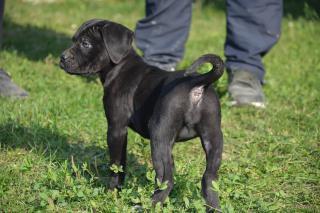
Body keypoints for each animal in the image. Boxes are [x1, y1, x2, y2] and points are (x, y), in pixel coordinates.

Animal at [60, 19, 225, 211]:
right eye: (74, 40)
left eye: (86, 44)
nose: (62, 58)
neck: (119, 66)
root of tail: (198, 83)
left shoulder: (116, 128)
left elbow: (116, 165)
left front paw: (112, 192)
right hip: (213, 138)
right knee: (209, 179)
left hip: (159, 135)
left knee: (166, 179)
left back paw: (147, 205)